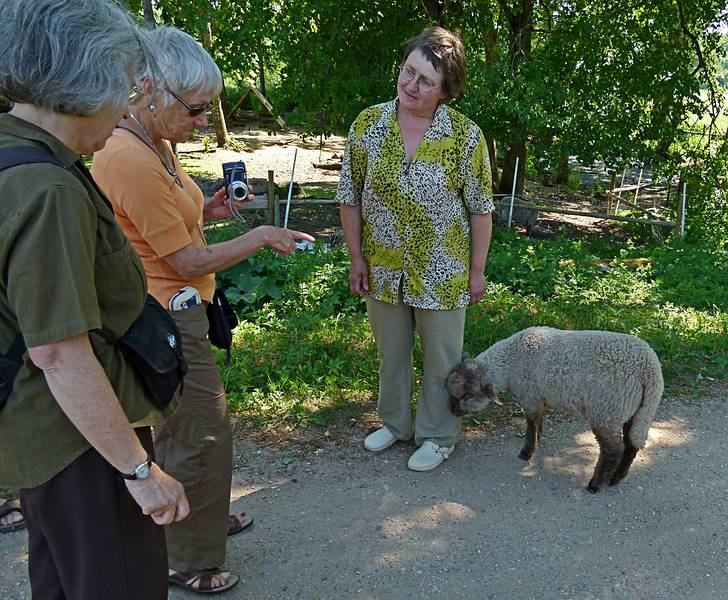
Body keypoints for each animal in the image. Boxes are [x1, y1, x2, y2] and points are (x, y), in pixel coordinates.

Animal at [446, 328, 664, 492]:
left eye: (466, 395)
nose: (453, 412)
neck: (510, 361)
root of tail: (650, 368)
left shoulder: (530, 394)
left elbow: (531, 422)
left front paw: (527, 451)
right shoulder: (539, 395)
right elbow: (538, 420)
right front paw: (538, 439)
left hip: (606, 409)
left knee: (613, 449)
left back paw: (595, 484)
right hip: (633, 409)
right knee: (631, 443)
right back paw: (617, 477)